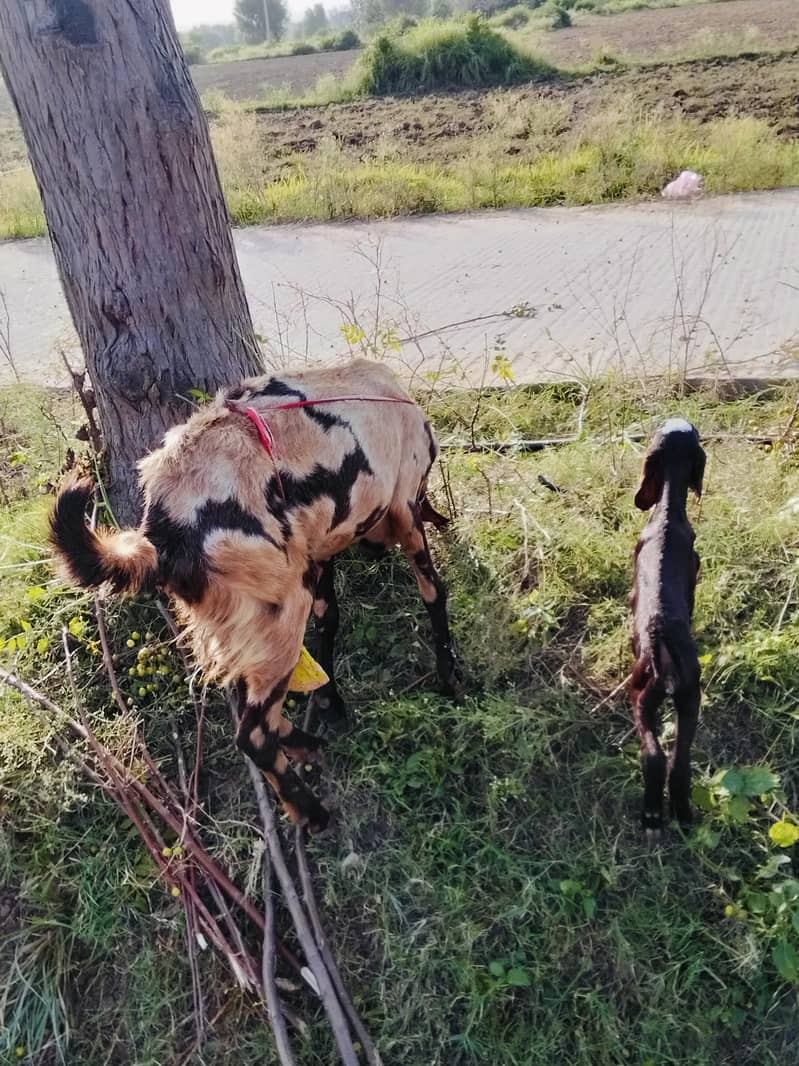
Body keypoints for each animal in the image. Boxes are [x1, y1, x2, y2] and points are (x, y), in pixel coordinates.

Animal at [50, 359, 460, 833]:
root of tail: (163, 534)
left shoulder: (318, 554)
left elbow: (330, 620)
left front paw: (330, 701)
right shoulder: (406, 509)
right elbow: (433, 591)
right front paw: (450, 675)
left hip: (258, 610)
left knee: (258, 702)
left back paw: (306, 741)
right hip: (283, 608)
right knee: (254, 733)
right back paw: (311, 811)